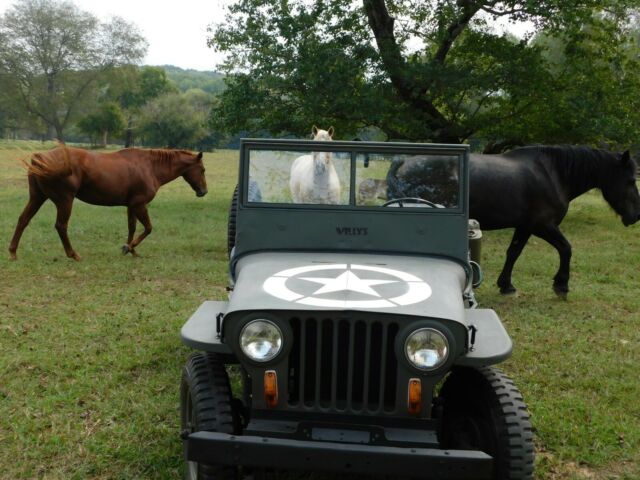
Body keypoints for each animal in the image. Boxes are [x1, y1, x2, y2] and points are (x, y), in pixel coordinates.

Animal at [8, 146, 208, 260]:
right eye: (203, 169)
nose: (203, 191)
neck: (149, 167)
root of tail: (39, 158)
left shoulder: (131, 206)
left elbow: (132, 227)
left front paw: (131, 250)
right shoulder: (140, 205)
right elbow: (148, 228)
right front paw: (128, 247)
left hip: (37, 197)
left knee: (23, 220)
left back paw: (13, 252)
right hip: (65, 201)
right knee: (61, 226)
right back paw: (73, 254)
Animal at [384, 146, 640, 296]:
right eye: (630, 180)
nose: (635, 215)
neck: (552, 174)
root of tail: (404, 161)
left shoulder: (525, 227)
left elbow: (513, 253)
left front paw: (505, 284)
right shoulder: (543, 226)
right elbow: (566, 249)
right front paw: (561, 284)